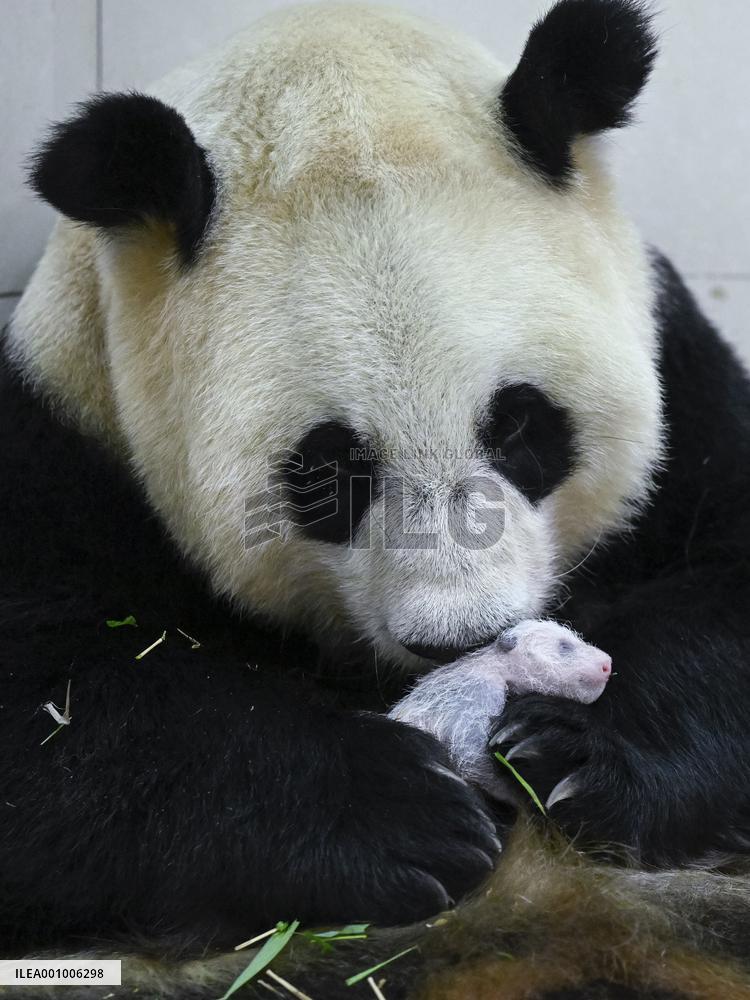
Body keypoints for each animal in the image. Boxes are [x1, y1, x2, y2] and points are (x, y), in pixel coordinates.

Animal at [3, 0, 750, 997]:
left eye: (520, 425)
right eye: (330, 472)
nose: (466, 639)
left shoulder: (679, 368)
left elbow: (727, 578)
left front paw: (574, 748)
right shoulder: (66, 436)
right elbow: (54, 712)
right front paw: (403, 813)